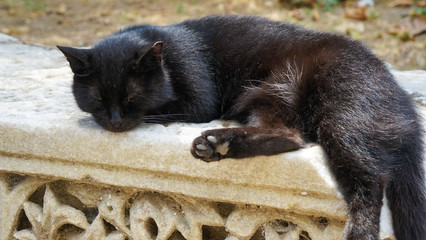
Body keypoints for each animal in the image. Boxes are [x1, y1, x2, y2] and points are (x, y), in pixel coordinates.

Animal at [57, 15, 426, 240]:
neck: (166, 51)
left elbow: (164, 110)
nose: (115, 120)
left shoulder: (198, 99)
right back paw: (215, 144)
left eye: (132, 97)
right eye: (98, 97)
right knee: (289, 135)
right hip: (269, 97)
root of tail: (401, 101)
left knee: (367, 181)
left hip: (337, 118)